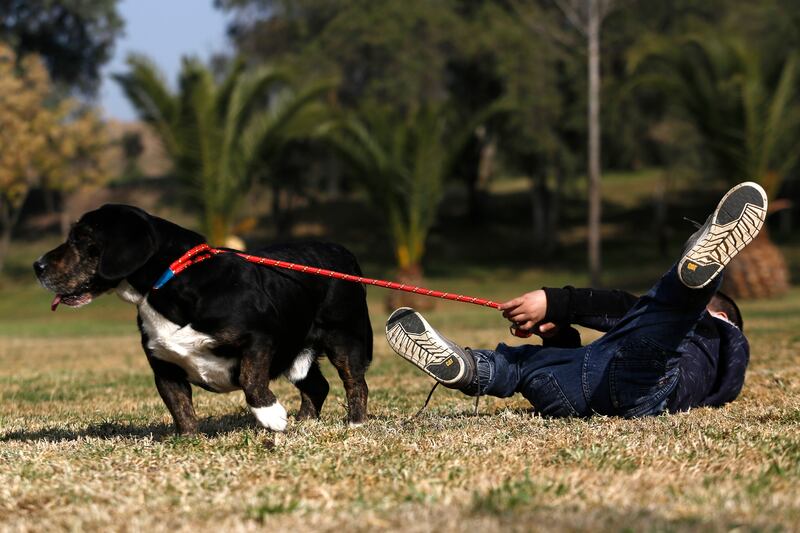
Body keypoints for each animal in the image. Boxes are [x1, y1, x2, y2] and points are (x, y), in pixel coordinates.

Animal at [35, 204, 376, 432]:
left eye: (80, 239)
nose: (37, 266)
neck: (171, 282)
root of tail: (343, 252)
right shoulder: (163, 364)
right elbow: (179, 406)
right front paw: (189, 438)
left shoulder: (259, 338)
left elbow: (250, 378)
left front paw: (271, 414)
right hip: (297, 352)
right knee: (317, 386)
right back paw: (305, 421)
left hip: (344, 338)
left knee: (355, 383)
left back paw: (355, 424)